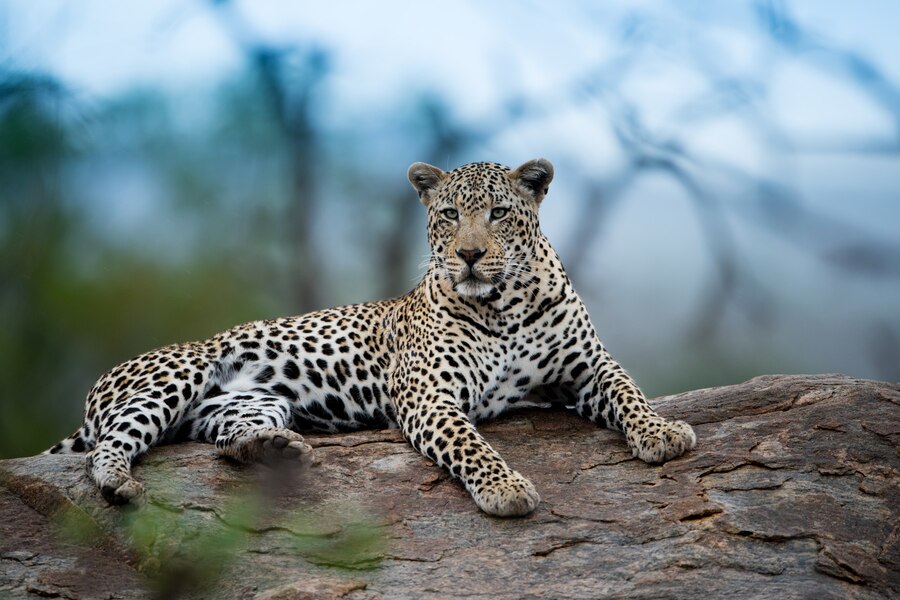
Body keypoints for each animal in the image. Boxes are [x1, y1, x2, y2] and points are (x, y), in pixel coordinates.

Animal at [47, 158, 696, 516]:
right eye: (449, 215)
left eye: (498, 214)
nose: (468, 255)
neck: (505, 306)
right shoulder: (430, 395)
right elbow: (471, 444)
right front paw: (505, 487)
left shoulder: (587, 368)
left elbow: (629, 391)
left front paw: (663, 432)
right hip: (177, 376)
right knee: (109, 447)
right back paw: (119, 484)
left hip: (245, 405)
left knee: (226, 443)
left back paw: (275, 450)